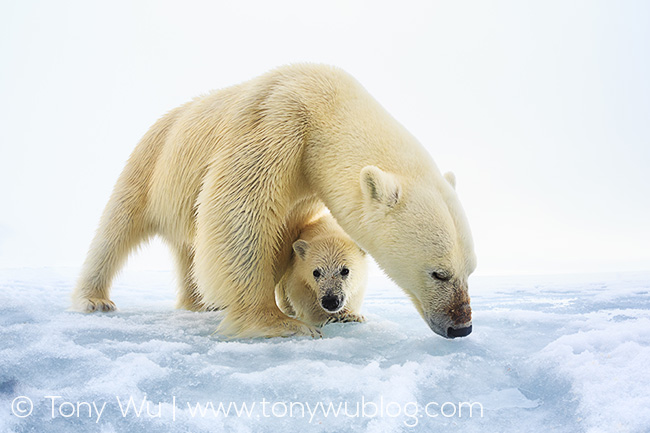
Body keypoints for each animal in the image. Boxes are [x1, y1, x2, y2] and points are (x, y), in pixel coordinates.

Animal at [72, 64, 476, 340]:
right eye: (438, 272)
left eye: (470, 270)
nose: (461, 327)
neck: (325, 106)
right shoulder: (276, 125)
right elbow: (237, 214)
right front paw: (279, 322)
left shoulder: (304, 187)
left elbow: (282, 237)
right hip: (151, 162)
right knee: (117, 226)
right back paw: (94, 299)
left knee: (188, 246)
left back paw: (199, 302)